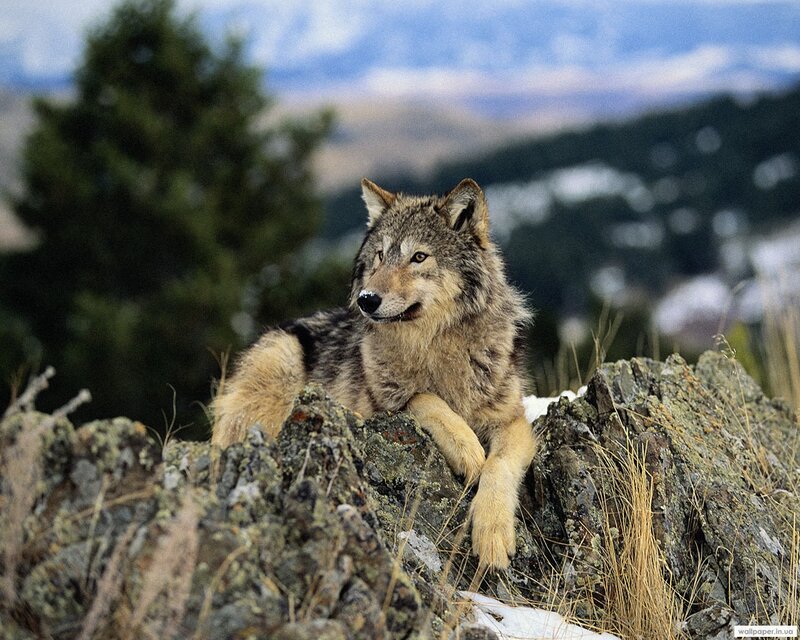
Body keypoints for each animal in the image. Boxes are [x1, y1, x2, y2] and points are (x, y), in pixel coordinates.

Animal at [212, 178, 538, 570]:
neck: (434, 348)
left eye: (419, 257)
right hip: (281, 363)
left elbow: (499, 465)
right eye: (381, 255)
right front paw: (468, 449)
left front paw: (493, 533)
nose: (366, 299)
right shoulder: (379, 406)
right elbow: (422, 398)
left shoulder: (512, 420)